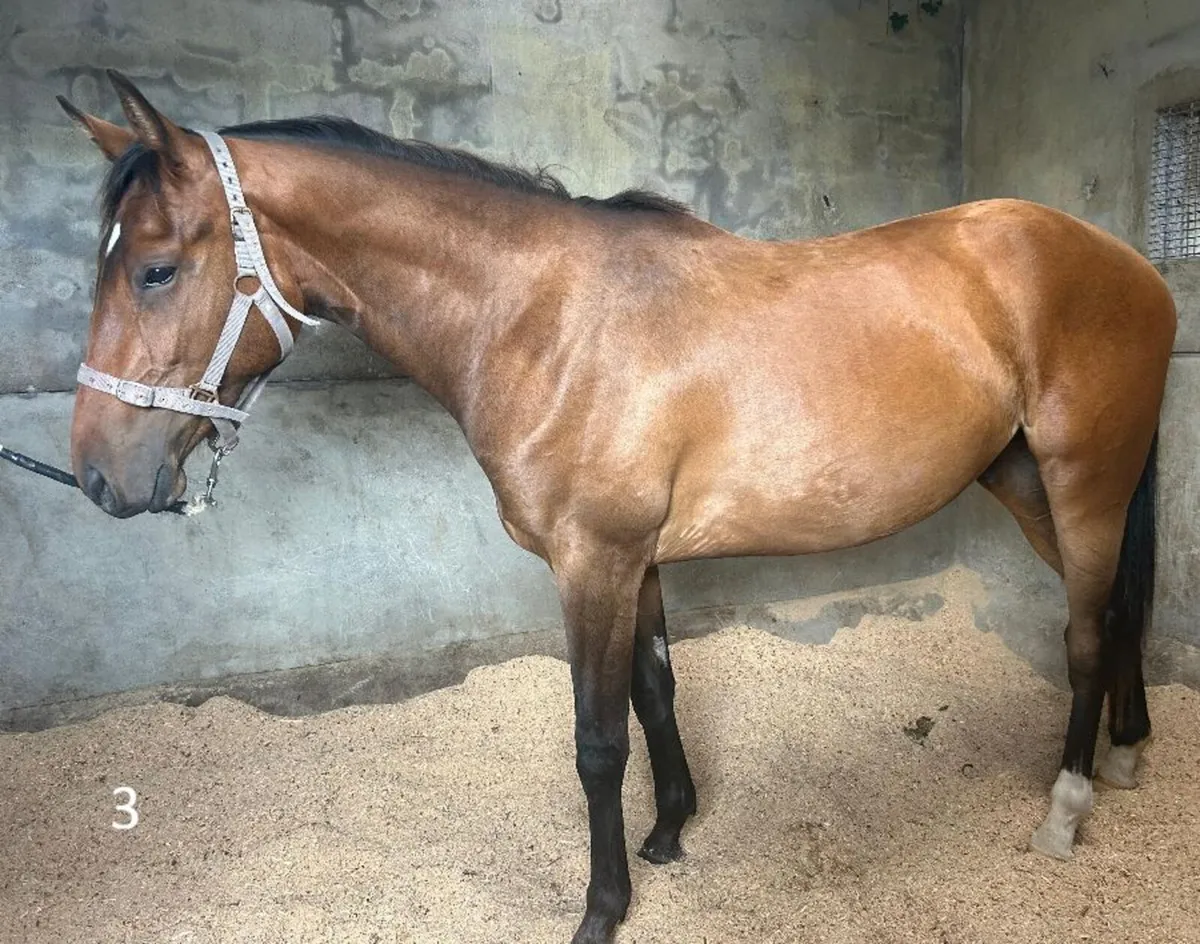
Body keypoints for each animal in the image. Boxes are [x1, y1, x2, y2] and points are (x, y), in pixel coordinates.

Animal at [59, 71, 1174, 944]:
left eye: (155, 269)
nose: (99, 477)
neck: (545, 318)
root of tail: (1135, 268)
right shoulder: (633, 561)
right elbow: (656, 691)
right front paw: (672, 830)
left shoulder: (591, 560)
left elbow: (598, 741)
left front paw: (603, 907)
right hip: (1027, 482)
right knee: (1120, 609)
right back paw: (1126, 752)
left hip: (1082, 481)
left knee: (1084, 631)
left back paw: (1066, 806)